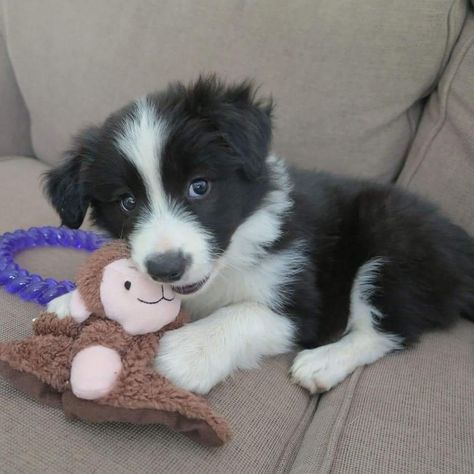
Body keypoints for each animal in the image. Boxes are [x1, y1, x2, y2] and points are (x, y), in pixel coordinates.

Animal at [44, 76, 474, 394]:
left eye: (199, 186)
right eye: (127, 202)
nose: (166, 269)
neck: (231, 256)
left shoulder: (305, 303)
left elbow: (242, 314)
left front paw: (187, 352)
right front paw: (71, 302)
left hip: (393, 240)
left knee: (387, 329)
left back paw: (324, 362)